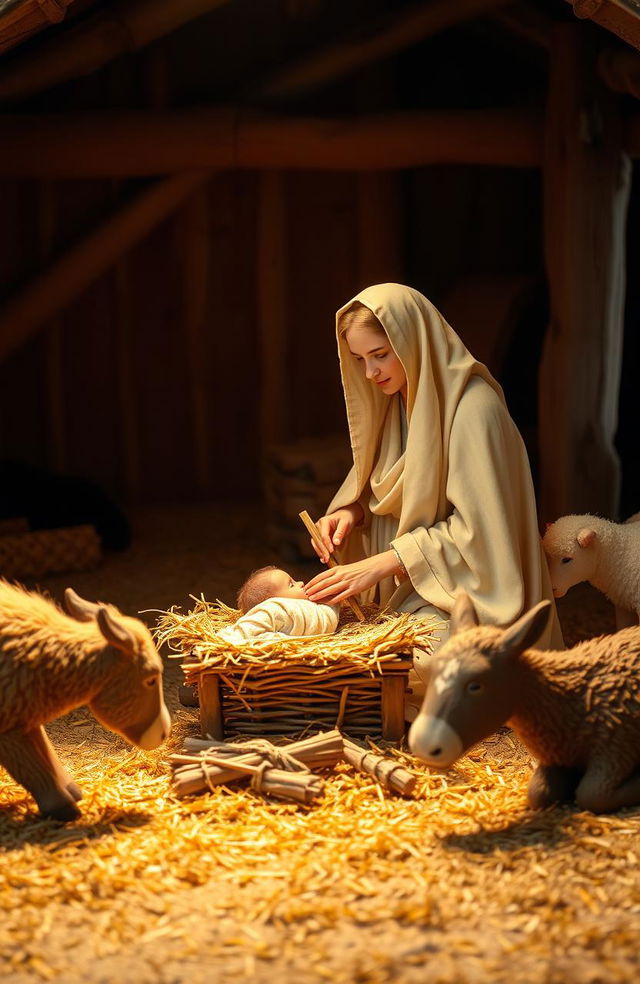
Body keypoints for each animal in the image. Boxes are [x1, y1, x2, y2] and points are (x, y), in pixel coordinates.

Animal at [0, 580, 170, 820]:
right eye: (151, 679)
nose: (164, 732)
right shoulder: (9, 728)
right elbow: (31, 767)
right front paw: (62, 807)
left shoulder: (25, 717)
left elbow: (46, 754)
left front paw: (72, 792)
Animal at [408, 592, 640, 816]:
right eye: (434, 669)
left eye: (475, 685)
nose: (423, 744)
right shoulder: (556, 759)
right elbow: (537, 792)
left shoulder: (616, 747)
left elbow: (591, 794)